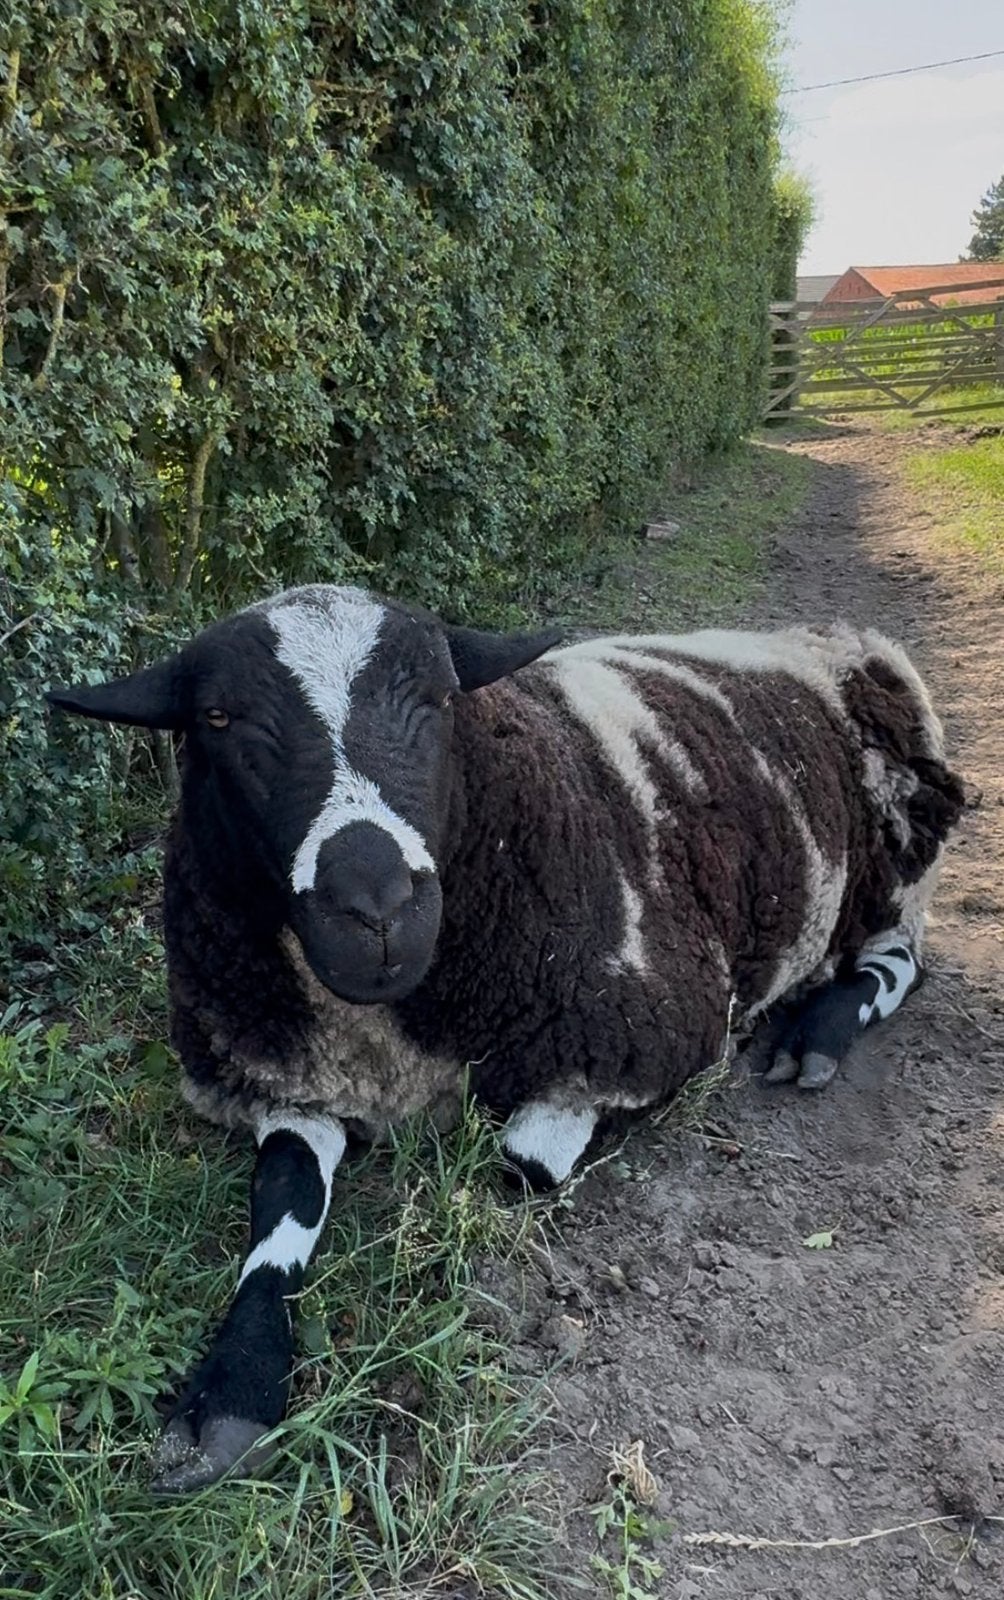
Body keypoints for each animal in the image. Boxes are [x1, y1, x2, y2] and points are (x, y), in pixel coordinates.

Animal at [48, 583, 965, 1491]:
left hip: (895, 860)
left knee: (899, 960)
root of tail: (835, 634)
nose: (378, 912)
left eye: (440, 699)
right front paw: (231, 1388)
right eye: (218, 719)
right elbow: (283, 1200)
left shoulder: (649, 1035)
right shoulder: (280, 1079)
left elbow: (516, 1166)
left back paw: (821, 1031)